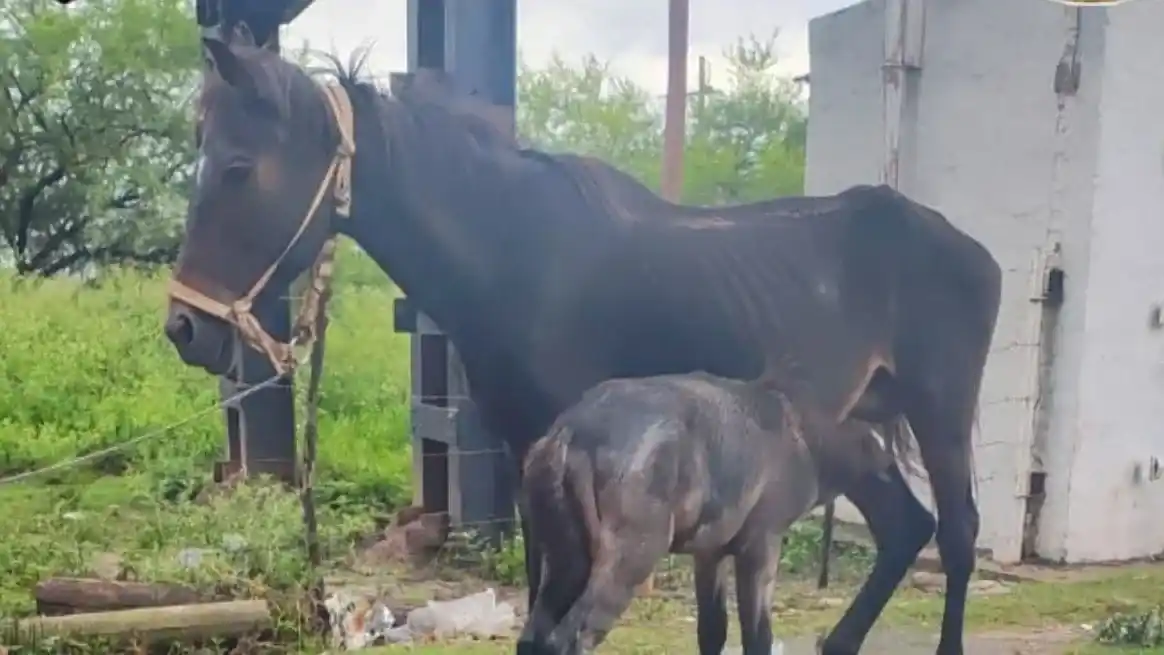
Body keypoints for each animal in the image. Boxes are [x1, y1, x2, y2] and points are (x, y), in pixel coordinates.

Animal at [519, 370, 899, 655]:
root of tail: (570, 432)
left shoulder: (709, 554)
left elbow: (713, 630)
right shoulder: (762, 545)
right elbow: (757, 635)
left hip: (568, 559)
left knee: (532, 638)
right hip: (630, 558)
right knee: (570, 638)